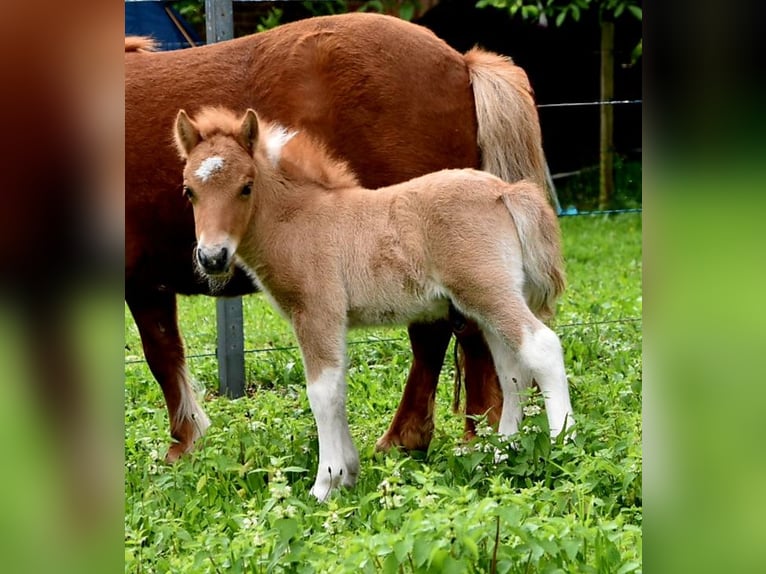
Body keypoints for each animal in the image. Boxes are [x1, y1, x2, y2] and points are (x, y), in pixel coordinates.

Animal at [126, 12, 548, 464]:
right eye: (187, 191)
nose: (212, 258)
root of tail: (461, 63)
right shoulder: (150, 283)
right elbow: (167, 351)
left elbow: (159, 357)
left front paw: (181, 446)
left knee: (453, 334)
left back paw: (460, 435)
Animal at [176, 107, 576, 500]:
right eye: (189, 191)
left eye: (246, 187)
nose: (212, 257)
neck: (300, 220)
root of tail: (505, 190)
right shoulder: (333, 321)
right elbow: (338, 389)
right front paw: (348, 474)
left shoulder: (316, 313)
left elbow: (321, 393)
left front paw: (325, 484)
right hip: (486, 301)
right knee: (512, 369)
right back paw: (502, 452)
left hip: (487, 291)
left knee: (541, 346)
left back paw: (561, 443)